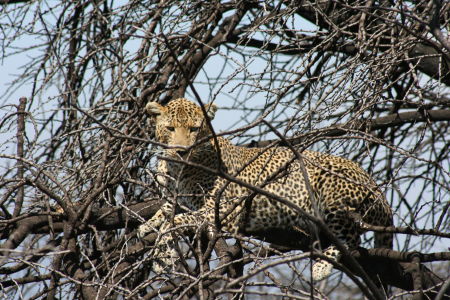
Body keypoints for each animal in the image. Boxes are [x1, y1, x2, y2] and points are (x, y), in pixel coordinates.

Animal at [138, 98, 394, 282]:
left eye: (194, 129)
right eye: (170, 128)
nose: (182, 151)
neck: (176, 168)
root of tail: (377, 187)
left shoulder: (221, 212)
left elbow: (175, 222)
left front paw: (161, 255)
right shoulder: (178, 198)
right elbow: (167, 210)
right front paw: (147, 226)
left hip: (332, 189)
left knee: (350, 238)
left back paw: (321, 267)